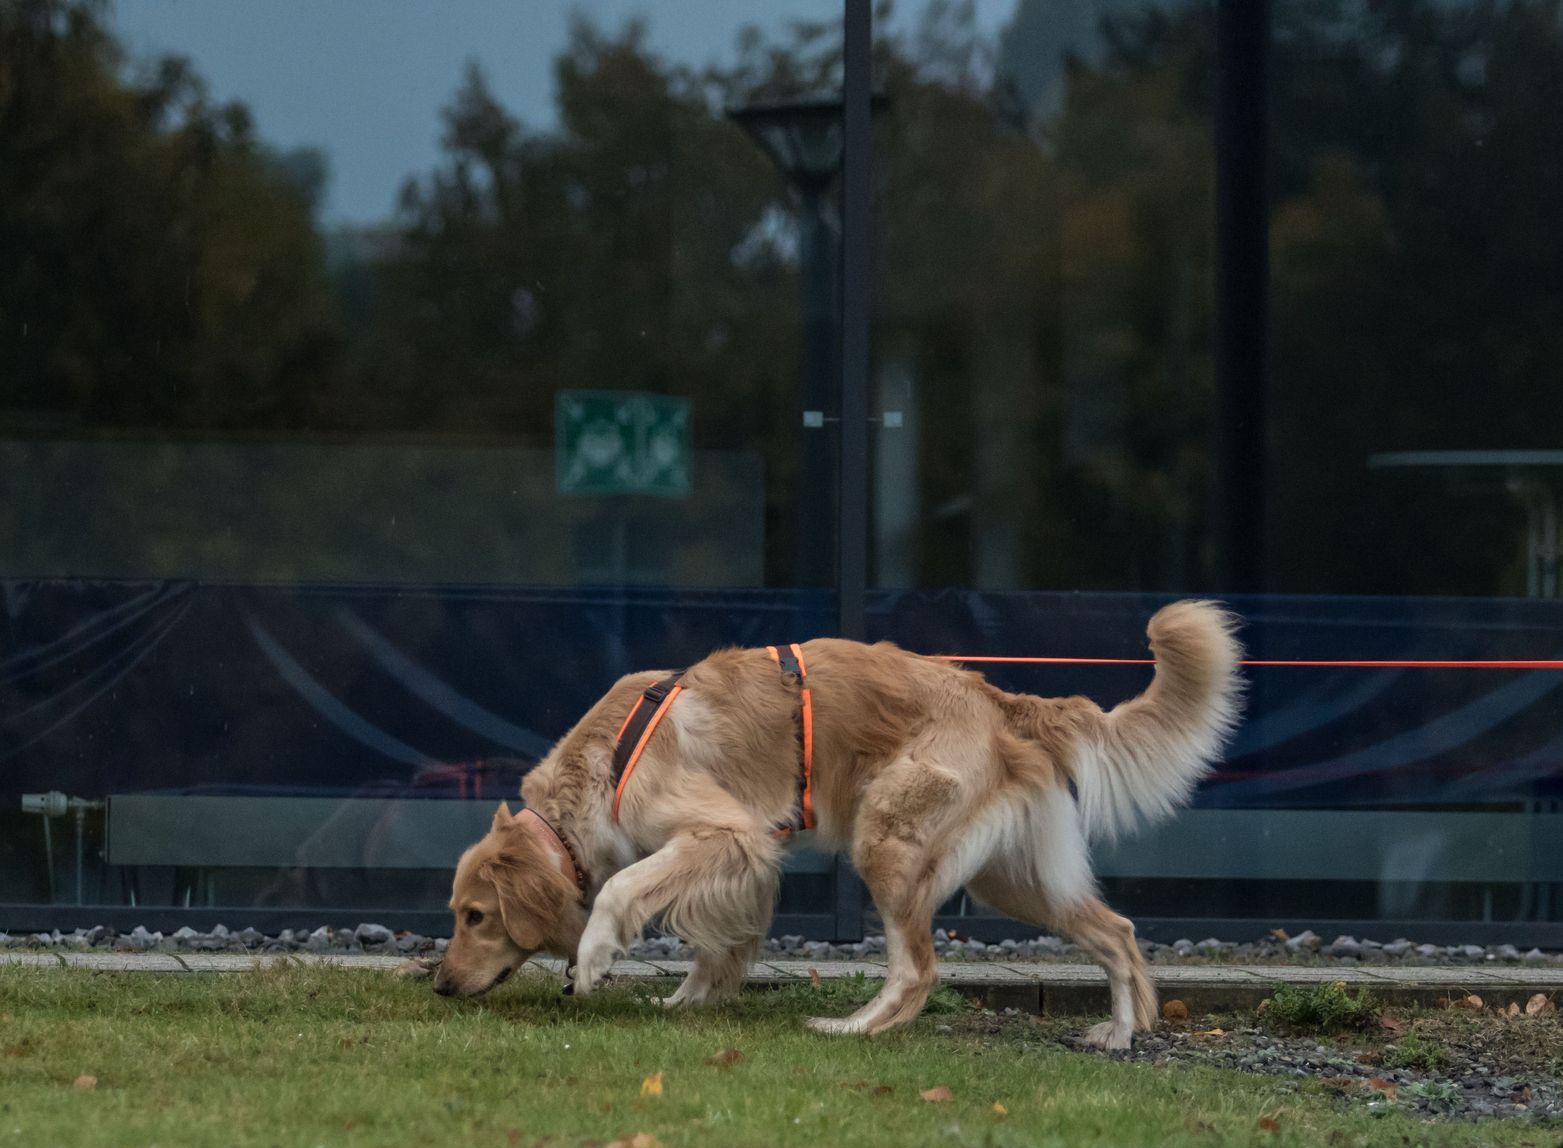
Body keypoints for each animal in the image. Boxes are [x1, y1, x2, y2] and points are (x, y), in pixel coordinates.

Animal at [435, 600, 1242, 1048]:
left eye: (476, 916)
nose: (438, 986)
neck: (602, 761)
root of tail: (996, 699)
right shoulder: (747, 863)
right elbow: (720, 945)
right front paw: (689, 1000)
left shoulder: (726, 836)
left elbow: (619, 889)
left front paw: (596, 958)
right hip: (1013, 881)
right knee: (1117, 932)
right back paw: (1121, 1033)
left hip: (885, 843)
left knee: (917, 971)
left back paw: (851, 1029)